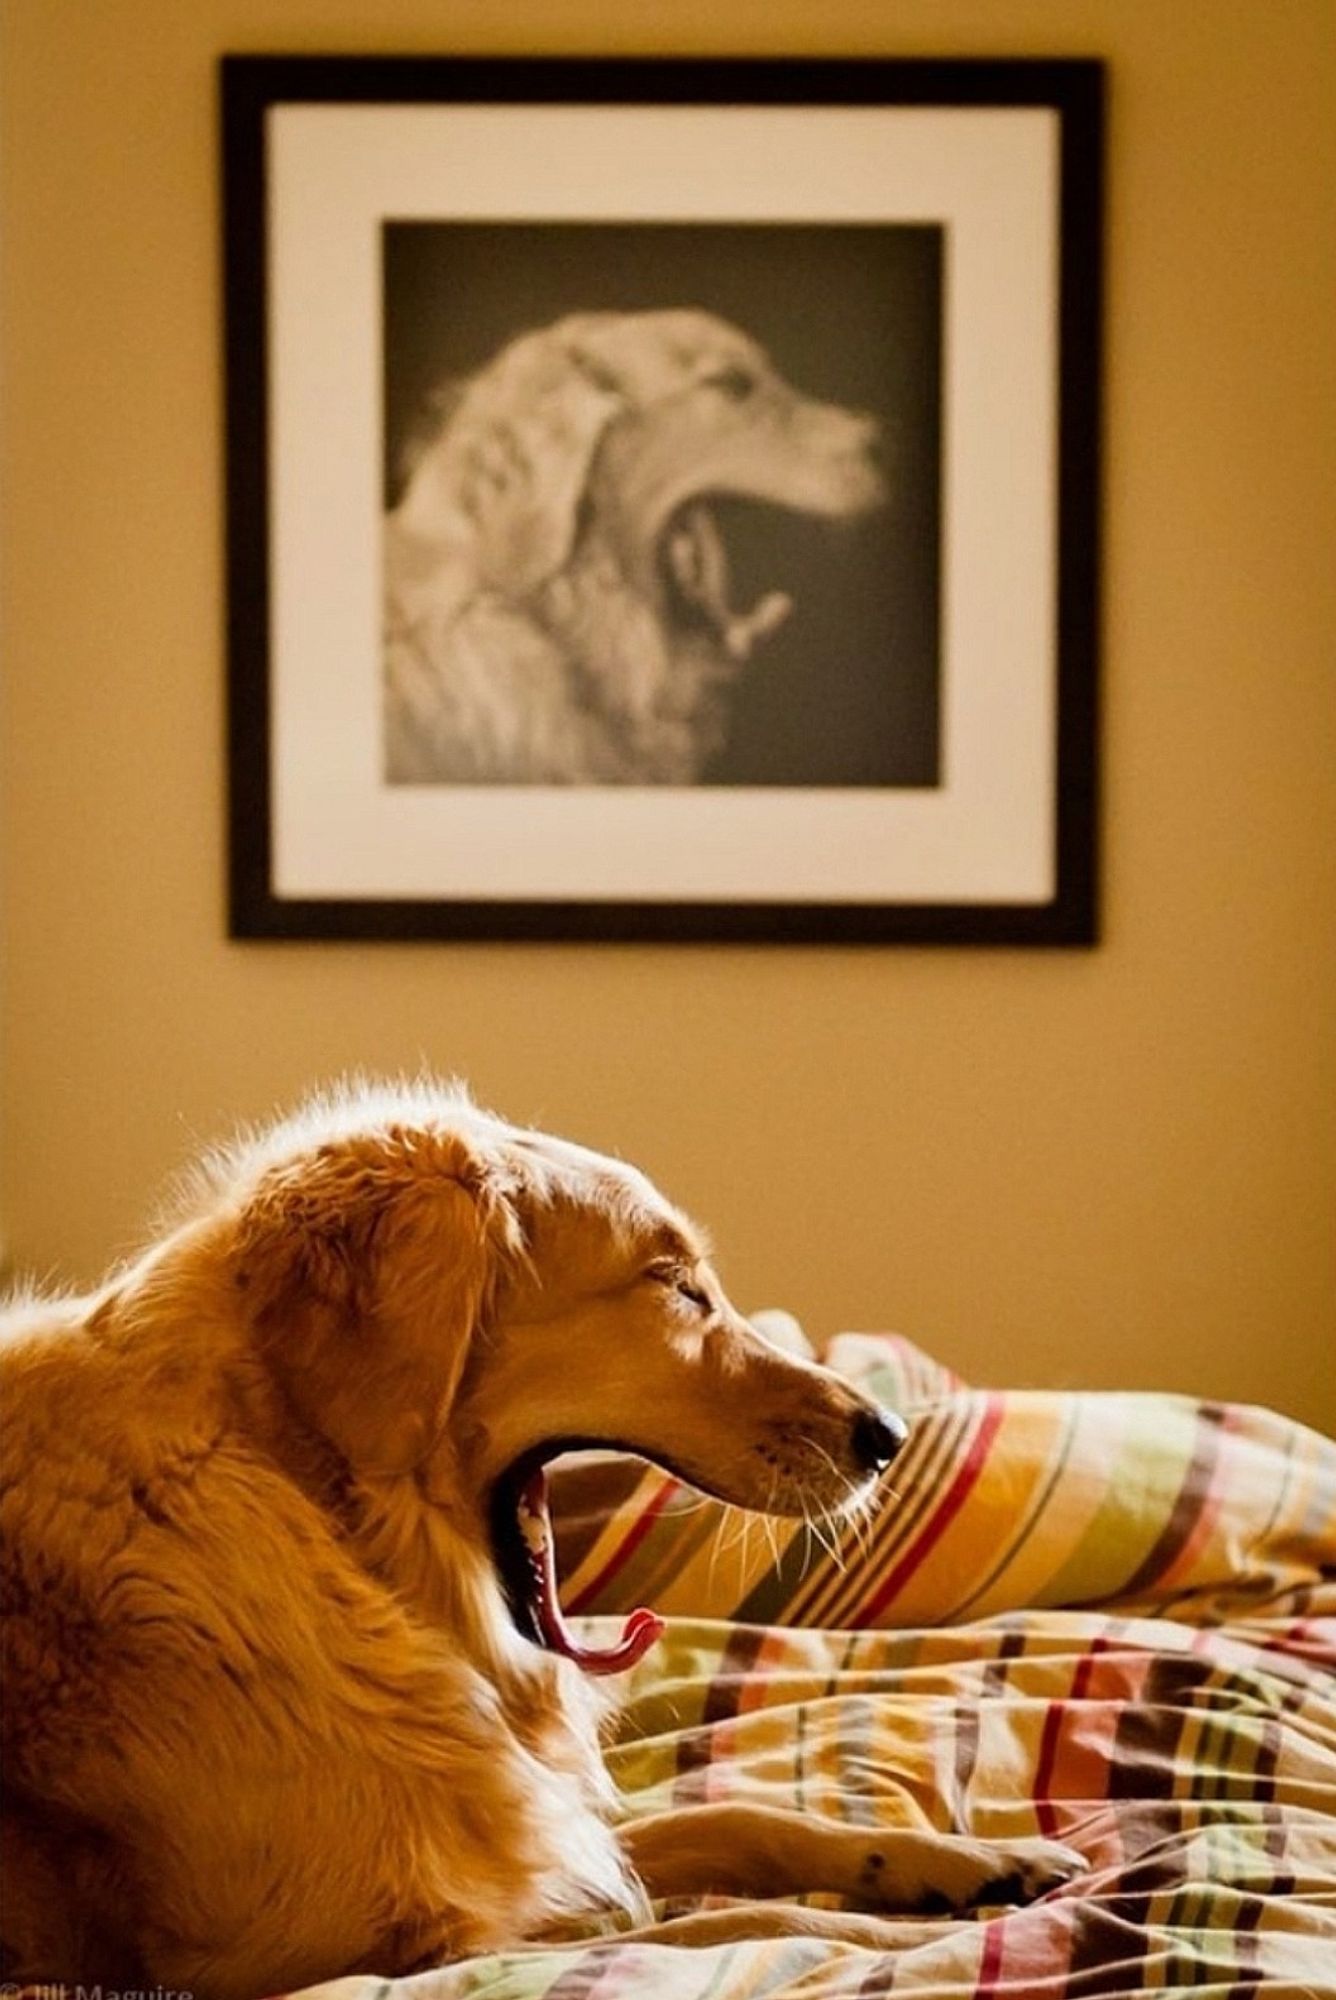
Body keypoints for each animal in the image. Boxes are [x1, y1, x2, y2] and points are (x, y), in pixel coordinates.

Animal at [0, 1088, 1088, 1992]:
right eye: (673, 1285)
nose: (889, 1437)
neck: (326, 1527)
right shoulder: (370, 1951)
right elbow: (714, 1928)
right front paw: (906, 1937)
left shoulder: (543, 1841)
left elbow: (728, 1817)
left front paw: (967, 1861)